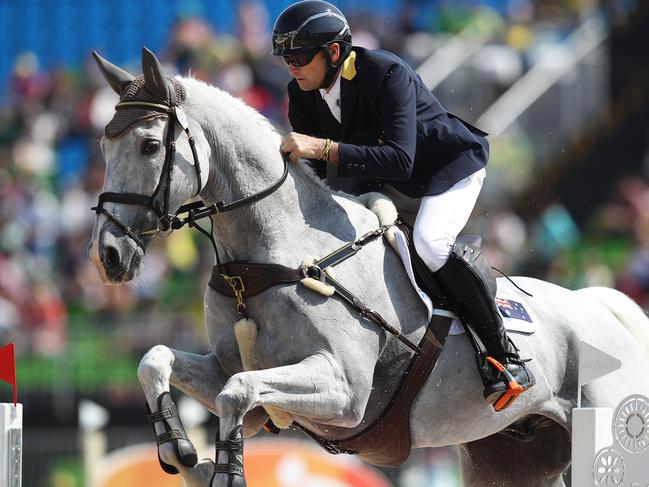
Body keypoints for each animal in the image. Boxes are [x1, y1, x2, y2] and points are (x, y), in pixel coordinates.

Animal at [87, 49, 648, 487]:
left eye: (150, 146)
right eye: (103, 146)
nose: (108, 256)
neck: (270, 257)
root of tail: (600, 310)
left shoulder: (344, 391)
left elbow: (238, 391)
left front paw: (224, 471)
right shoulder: (229, 366)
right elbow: (157, 360)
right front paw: (181, 453)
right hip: (511, 457)